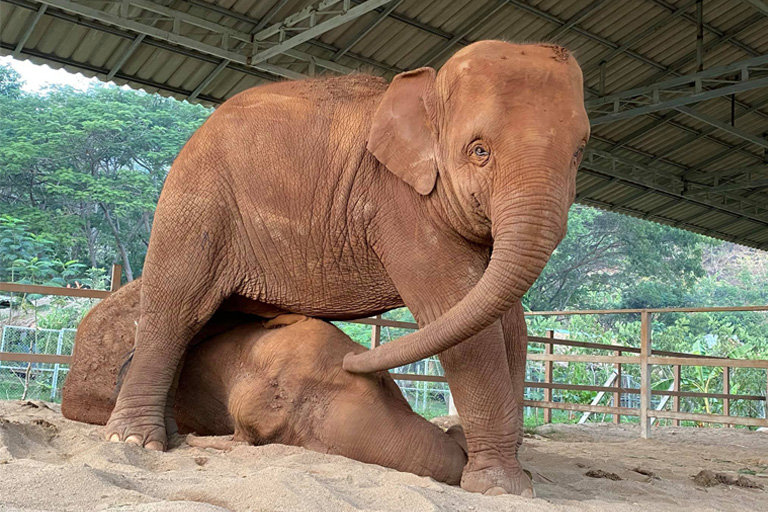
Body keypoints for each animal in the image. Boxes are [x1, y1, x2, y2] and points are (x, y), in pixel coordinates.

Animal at [106, 40, 588, 496]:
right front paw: (501, 488)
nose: (354, 361)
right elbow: (461, 314)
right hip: (196, 205)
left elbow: (510, 325)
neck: (427, 90)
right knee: (177, 310)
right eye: (479, 151)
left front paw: (509, 476)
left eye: (579, 154)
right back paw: (132, 442)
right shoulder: (399, 202)